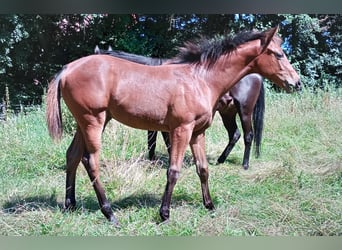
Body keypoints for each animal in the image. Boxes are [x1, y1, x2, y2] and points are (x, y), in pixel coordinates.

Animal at [95, 45, 266, 169]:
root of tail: (256, 74)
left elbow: (161, 141)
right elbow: (153, 141)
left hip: (244, 111)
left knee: (248, 135)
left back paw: (245, 164)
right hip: (227, 113)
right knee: (234, 134)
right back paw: (220, 160)